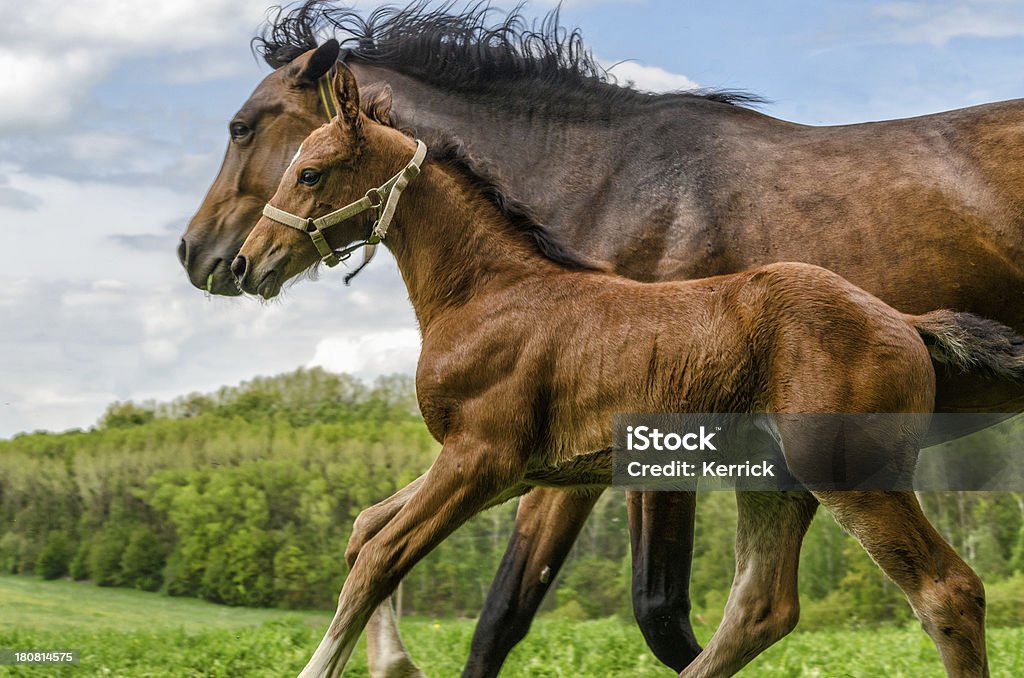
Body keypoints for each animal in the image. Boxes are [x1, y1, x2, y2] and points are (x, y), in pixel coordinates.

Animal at [180, 2, 1024, 675]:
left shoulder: (486, 460)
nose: (227, 259)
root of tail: (903, 320)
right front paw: (394, 660)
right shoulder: (519, 470)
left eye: (299, 164)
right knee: (760, 607)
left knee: (945, 592)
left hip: (851, 475)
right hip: (776, 481)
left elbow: (395, 562)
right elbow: (375, 536)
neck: (496, 288)